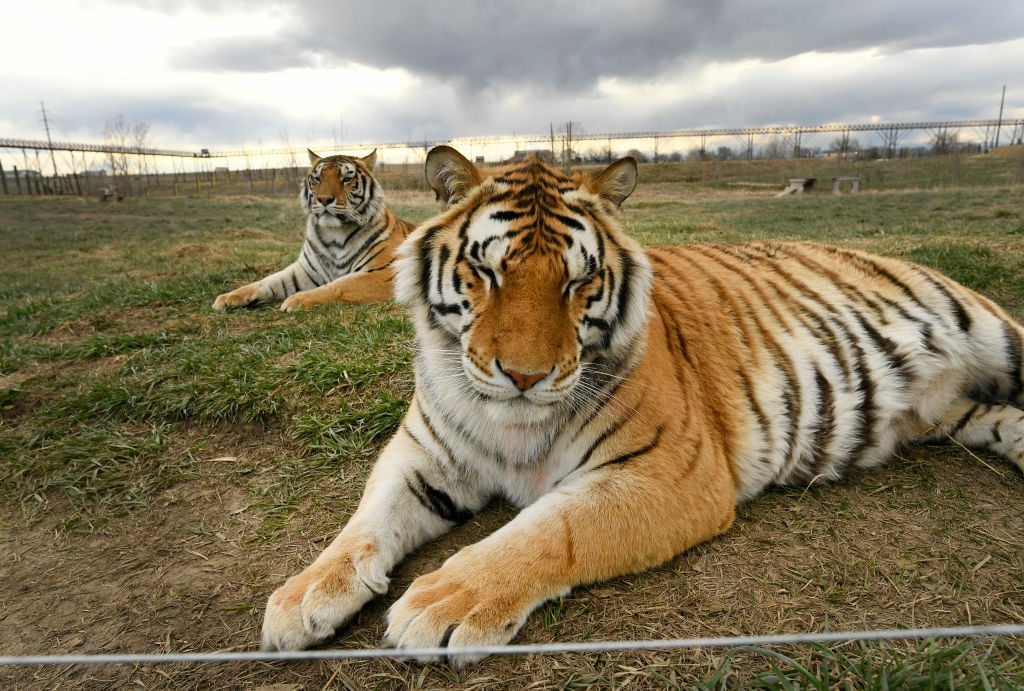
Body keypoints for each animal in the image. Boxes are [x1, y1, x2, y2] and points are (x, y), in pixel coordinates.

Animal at [209, 152, 413, 315]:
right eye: (317, 178)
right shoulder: (303, 271)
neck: (334, 234)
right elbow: (267, 281)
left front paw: (296, 300)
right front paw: (227, 297)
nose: (324, 199)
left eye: (346, 179)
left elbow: (338, 286)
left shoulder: (384, 274)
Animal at [258, 144, 1024, 663]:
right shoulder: (423, 454)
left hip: (998, 334)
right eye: (487, 272)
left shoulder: (671, 470)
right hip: (957, 412)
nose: (525, 376)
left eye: (576, 282)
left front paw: (443, 601)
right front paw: (302, 597)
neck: (511, 421)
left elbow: (549, 530)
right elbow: (364, 524)